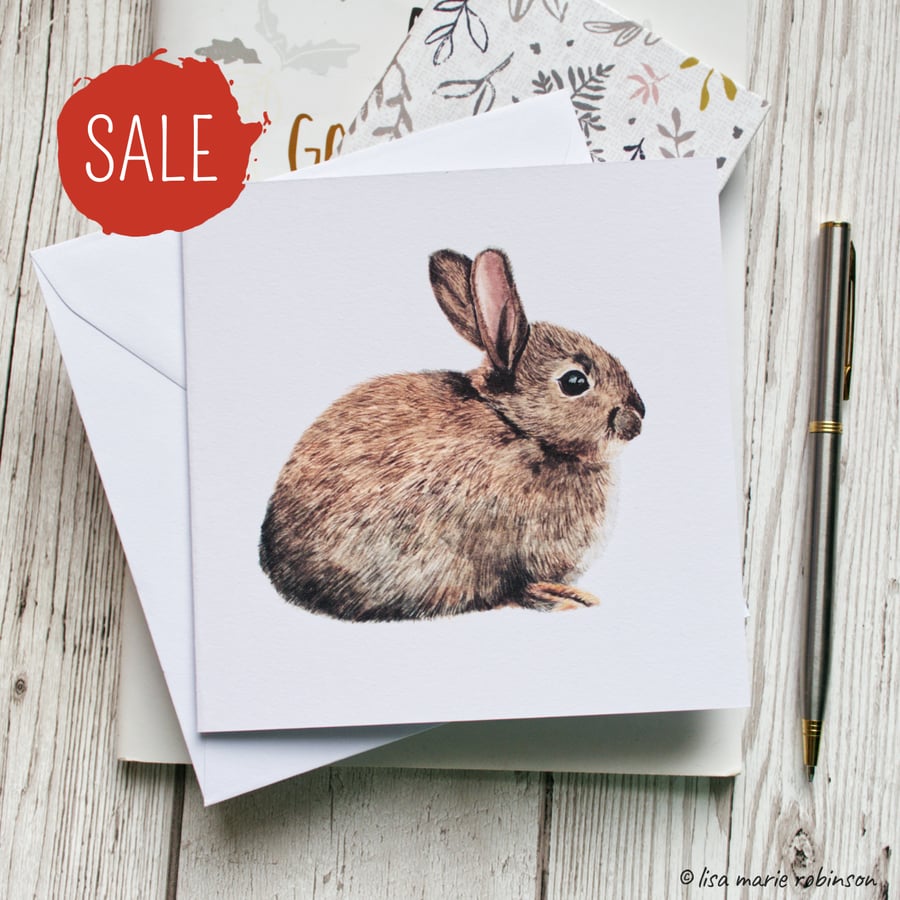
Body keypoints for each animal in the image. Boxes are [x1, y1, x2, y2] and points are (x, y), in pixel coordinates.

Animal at [259, 248, 644, 622]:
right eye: (574, 382)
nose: (637, 419)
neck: (516, 425)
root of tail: (275, 566)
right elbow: (517, 586)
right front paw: (565, 598)